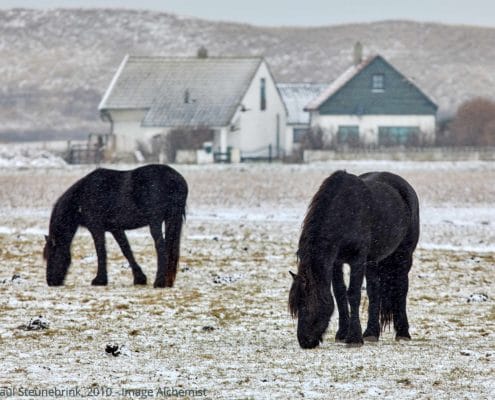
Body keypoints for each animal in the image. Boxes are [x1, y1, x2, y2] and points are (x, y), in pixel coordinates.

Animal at [43, 164, 188, 290]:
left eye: (52, 255)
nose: (50, 281)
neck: (82, 196)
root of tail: (175, 179)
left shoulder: (96, 227)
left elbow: (101, 250)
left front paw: (100, 280)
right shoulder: (116, 229)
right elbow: (126, 250)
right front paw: (139, 278)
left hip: (155, 222)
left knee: (161, 248)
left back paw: (159, 282)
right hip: (171, 220)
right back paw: (167, 282)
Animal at [288, 170, 420, 348]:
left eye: (308, 304)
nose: (304, 341)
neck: (344, 212)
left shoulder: (357, 259)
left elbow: (353, 294)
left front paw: (354, 338)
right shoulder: (336, 262)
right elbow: (339, 293)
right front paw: (342, 334)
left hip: (404, 255)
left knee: (401, 289)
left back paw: (403, 333)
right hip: (373, 262)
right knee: (374, 291)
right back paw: (371, 333)